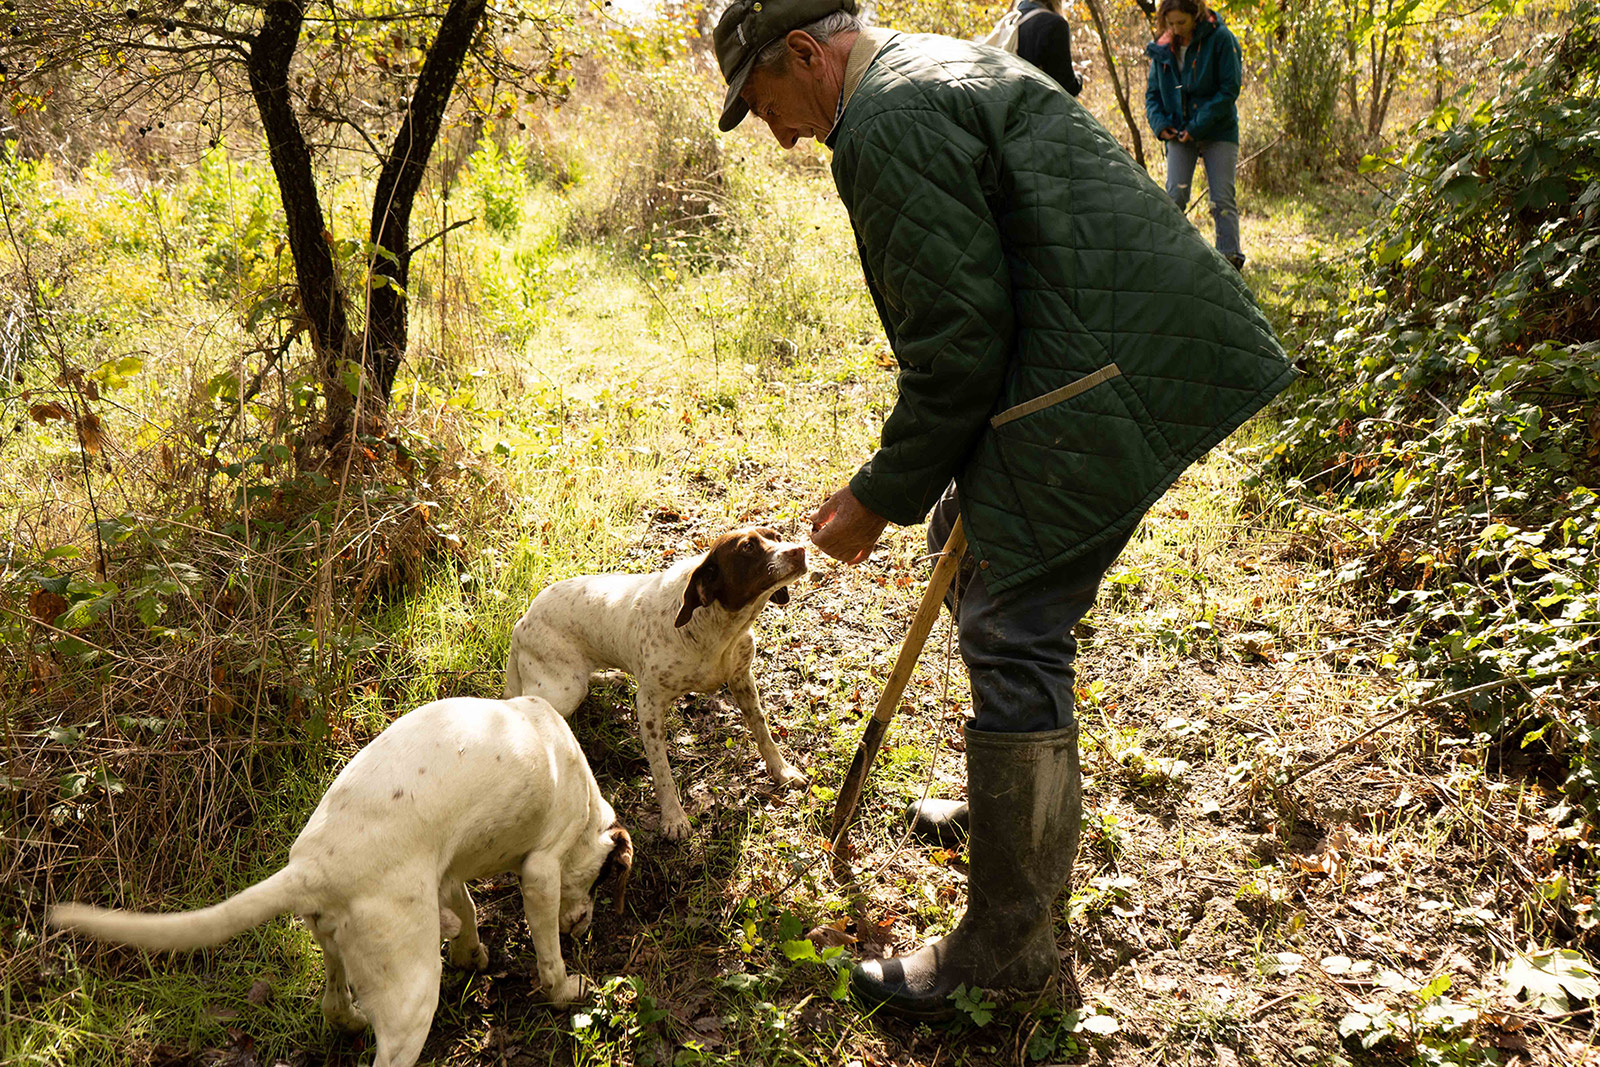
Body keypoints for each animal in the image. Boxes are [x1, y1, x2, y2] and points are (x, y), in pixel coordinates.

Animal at [48, 697, 630, 1067]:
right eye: (601, 884)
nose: (585, 929)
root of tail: (312, 867)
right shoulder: (542, 869)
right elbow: (549, 957)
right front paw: (566, 989)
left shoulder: (446, 873)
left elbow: (465, 913)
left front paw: (471, 953)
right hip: (412, 994)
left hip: (334, 941)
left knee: (332, 1004)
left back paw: (350, 1020)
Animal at [505, 524, 806, 844]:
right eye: (748, 547)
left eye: (776, 536)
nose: (800, 550)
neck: (716, 625)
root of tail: (522, 623)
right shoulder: (649, 705)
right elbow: (662, 770)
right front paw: (673, 818)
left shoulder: (742, 679)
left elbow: (763, 732)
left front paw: (782, 771)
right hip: (563, 691)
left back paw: (609, 678)